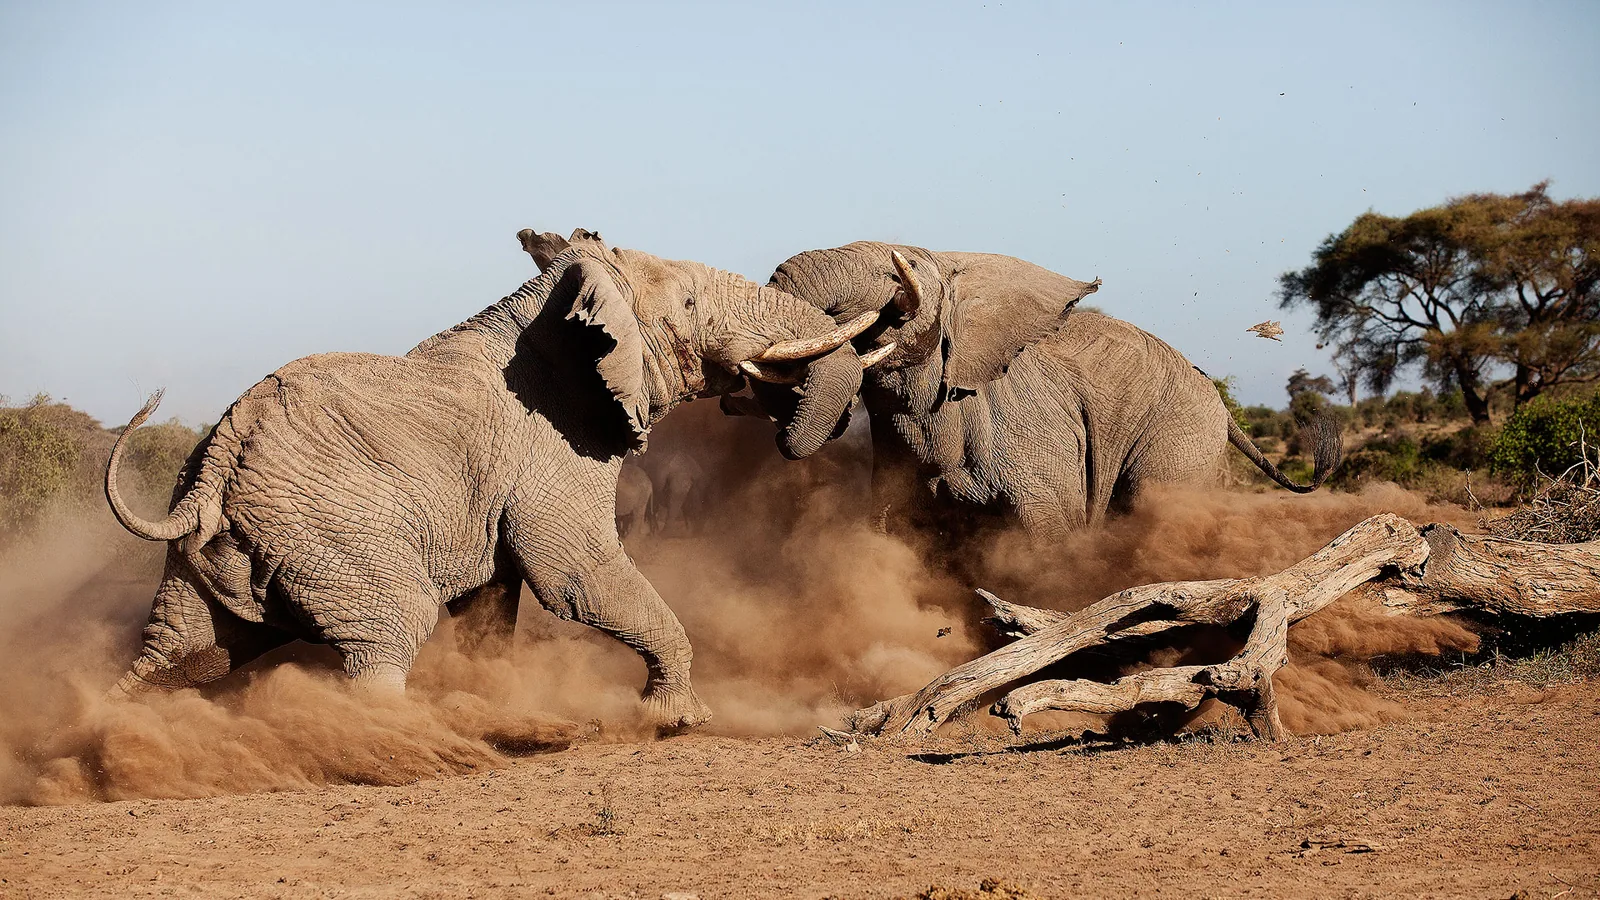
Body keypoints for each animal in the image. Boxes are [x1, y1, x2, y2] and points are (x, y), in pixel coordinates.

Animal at [102, 227, 884, 731]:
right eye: (690, 306)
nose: (773, 423)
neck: (553, 313)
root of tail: (218, 460)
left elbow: (494, 598)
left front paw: (492, 693)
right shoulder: (551, 451)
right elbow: (575, 575)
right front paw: (678, 719)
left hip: (215, 553)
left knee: (188, 652)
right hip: (336, 533)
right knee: (391, 631)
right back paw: (403, 738)